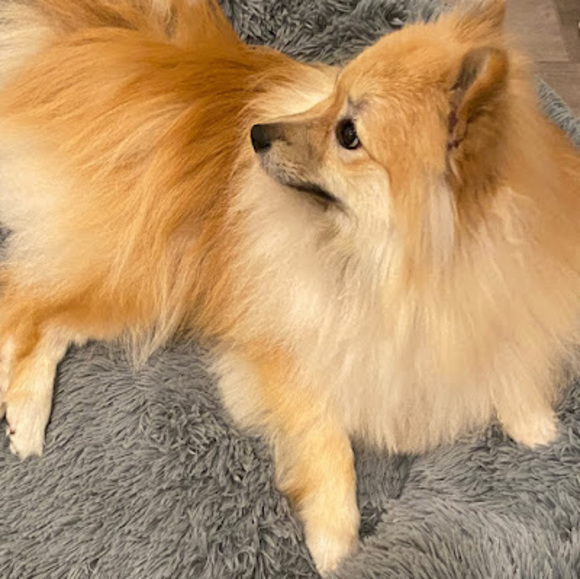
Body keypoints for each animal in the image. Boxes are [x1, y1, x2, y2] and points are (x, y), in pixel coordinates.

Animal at [0, 0, 579, 574]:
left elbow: (510, 351)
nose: (257, 133)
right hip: (147, 275)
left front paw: (534, 423)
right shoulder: (291, 349)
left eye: (349, 134)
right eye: (332, 93)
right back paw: (26, 421)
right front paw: (335, 542)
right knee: (24, 306)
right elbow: (329, 445)